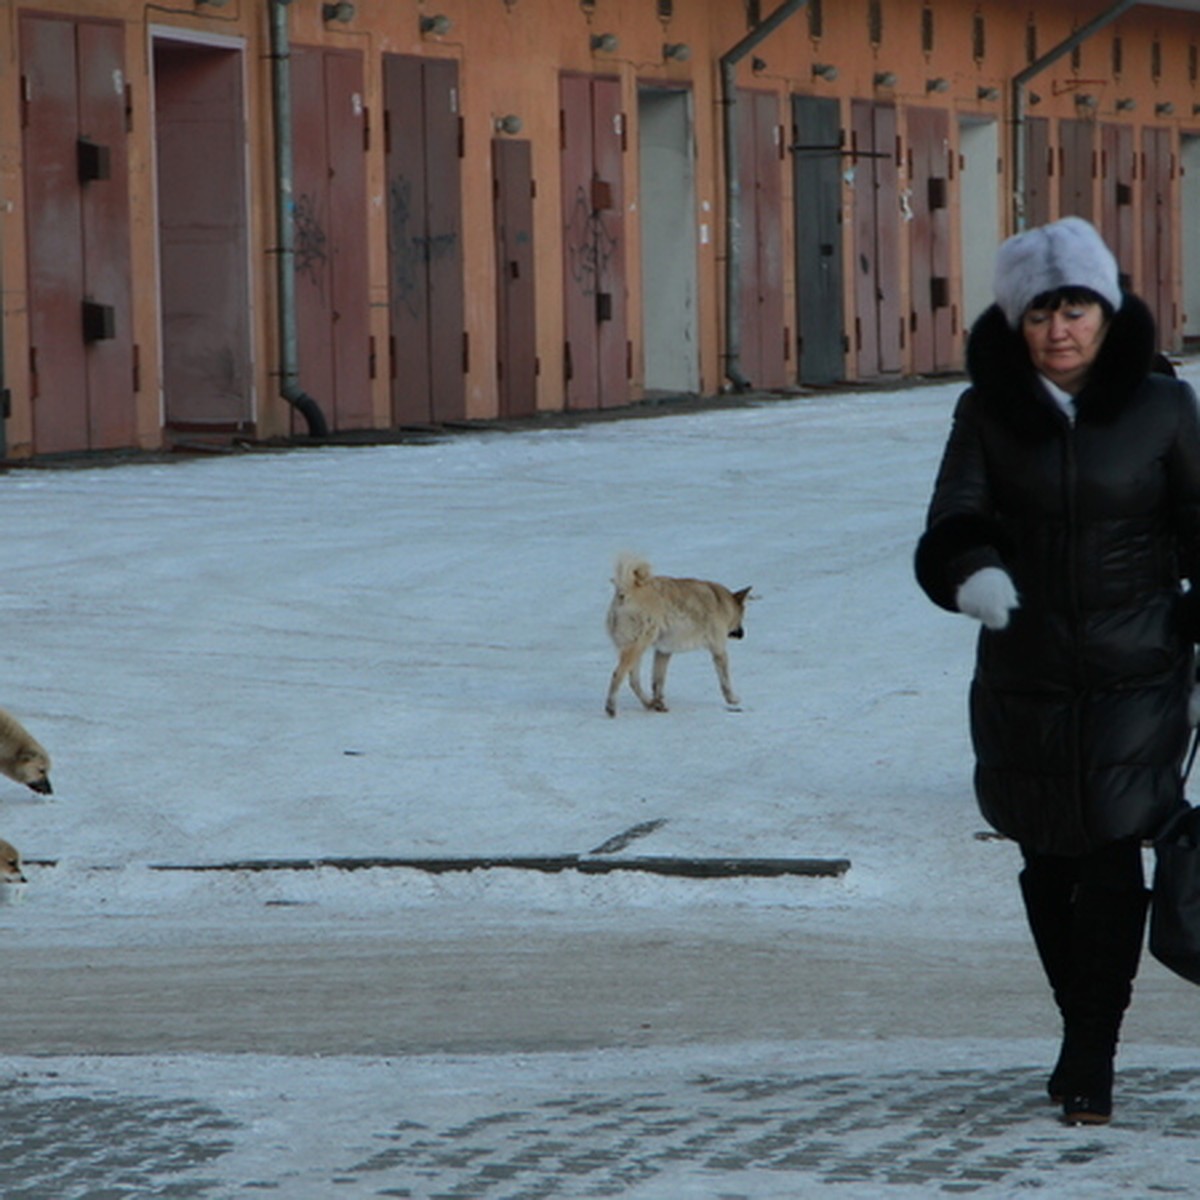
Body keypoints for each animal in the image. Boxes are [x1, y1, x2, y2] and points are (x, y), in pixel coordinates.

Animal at [609, 554, 748, 715]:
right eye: (742, 616)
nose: (743, 634)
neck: (721, 602)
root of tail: (625, 592)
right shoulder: (719, 650)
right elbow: (725, 680)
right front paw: (732, 699)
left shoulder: (663, 652)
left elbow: (657, 682)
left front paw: (659, 703)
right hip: (638, 646)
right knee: (618, 674)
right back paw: (610, 707)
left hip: (634, 649)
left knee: (633, 681)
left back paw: (650, 704)